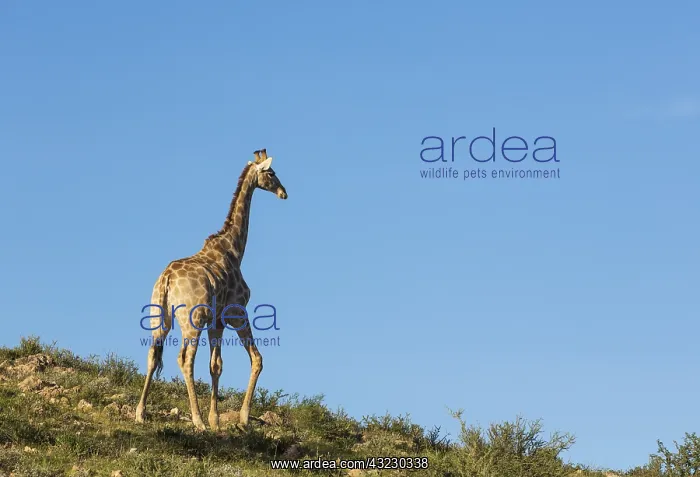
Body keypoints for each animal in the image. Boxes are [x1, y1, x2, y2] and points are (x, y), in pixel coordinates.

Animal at [135, 148, 287, 431]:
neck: (235, 250)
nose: (284, 192)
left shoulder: (215, 320)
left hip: (158, 317)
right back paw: (196, 420)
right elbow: (255, 360)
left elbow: (215, 365)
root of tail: (166, 279)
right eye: (271, 173)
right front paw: (240, 419)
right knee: (185, 359)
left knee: (153, 354)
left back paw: (140, 412)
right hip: (191, 320)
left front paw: (215, 419)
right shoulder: (235, 313)